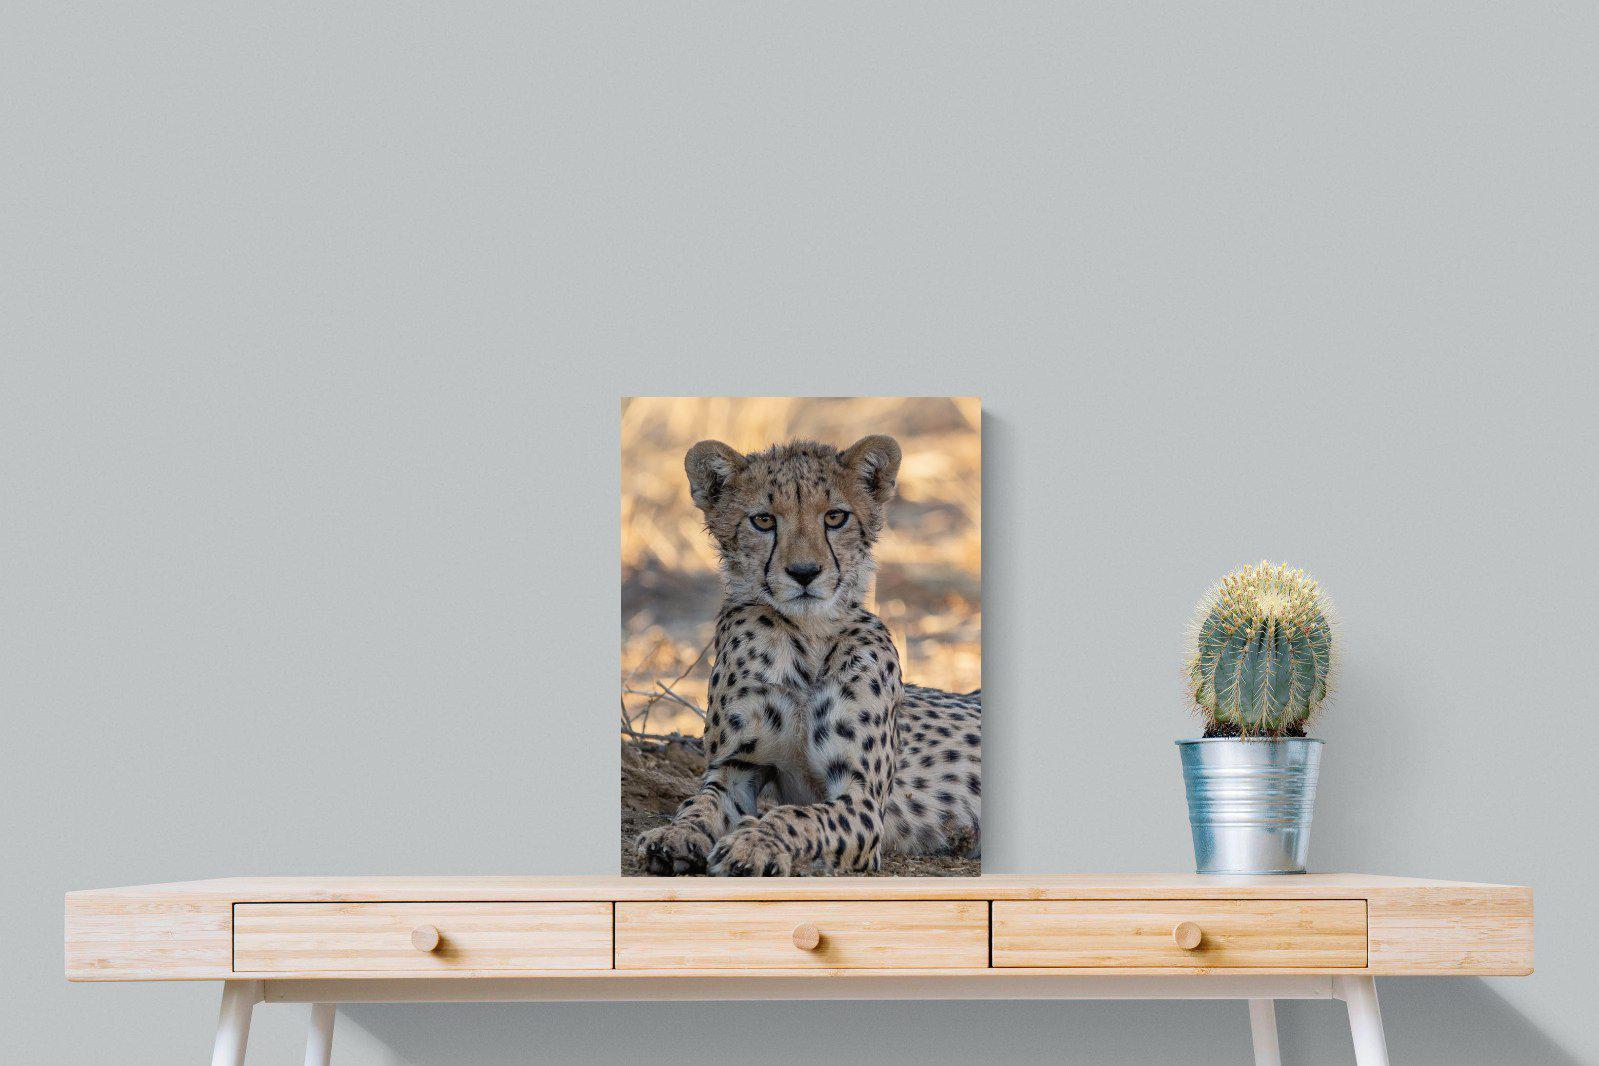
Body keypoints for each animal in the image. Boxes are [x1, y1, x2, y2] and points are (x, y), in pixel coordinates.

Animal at [633, 433, 981, 876]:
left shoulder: (862, 798)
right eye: (763, 521)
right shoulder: (735, 769)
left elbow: (798, 816)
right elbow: (700, 803)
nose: (804, 572)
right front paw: (674, 835)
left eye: (835, 517)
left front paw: (753, 842)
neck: (807, 639)